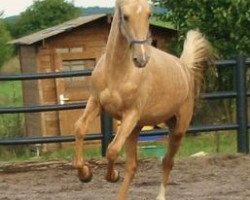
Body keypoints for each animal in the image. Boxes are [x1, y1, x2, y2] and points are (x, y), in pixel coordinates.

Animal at [73, 0, 213, 198]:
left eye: (149, 14)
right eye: (125, 16)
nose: (141, 59)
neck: (118, 73)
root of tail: (184, 66)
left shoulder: (131, 114)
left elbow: (112, 150)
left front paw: (113, 175)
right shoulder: (96, 102)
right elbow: (80, 128)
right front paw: (85, 173)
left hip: (177, 129)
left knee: (167, 161)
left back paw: (160, 196)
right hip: (136, 129)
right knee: (132, 166)